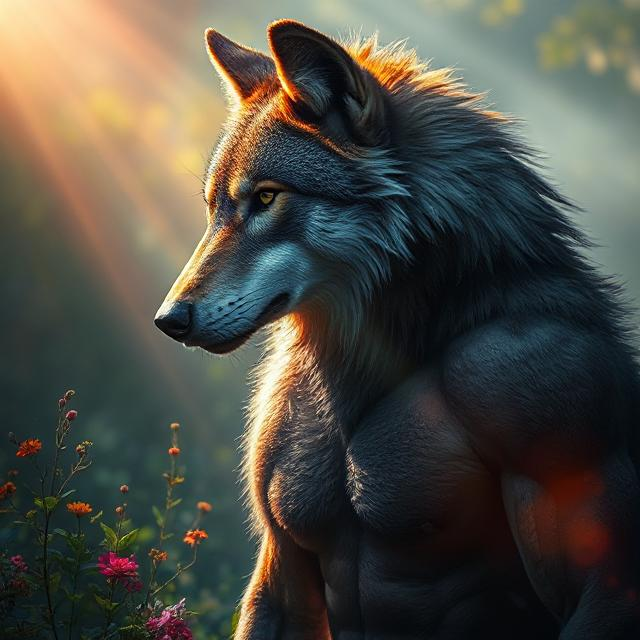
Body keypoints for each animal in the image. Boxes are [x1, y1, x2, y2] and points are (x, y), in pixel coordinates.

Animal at [155, 19, 640, 639]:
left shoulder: (534, 375)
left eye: (266, 197)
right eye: (213, 207)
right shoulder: (280, 565)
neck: (361, 367)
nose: (168, 320)